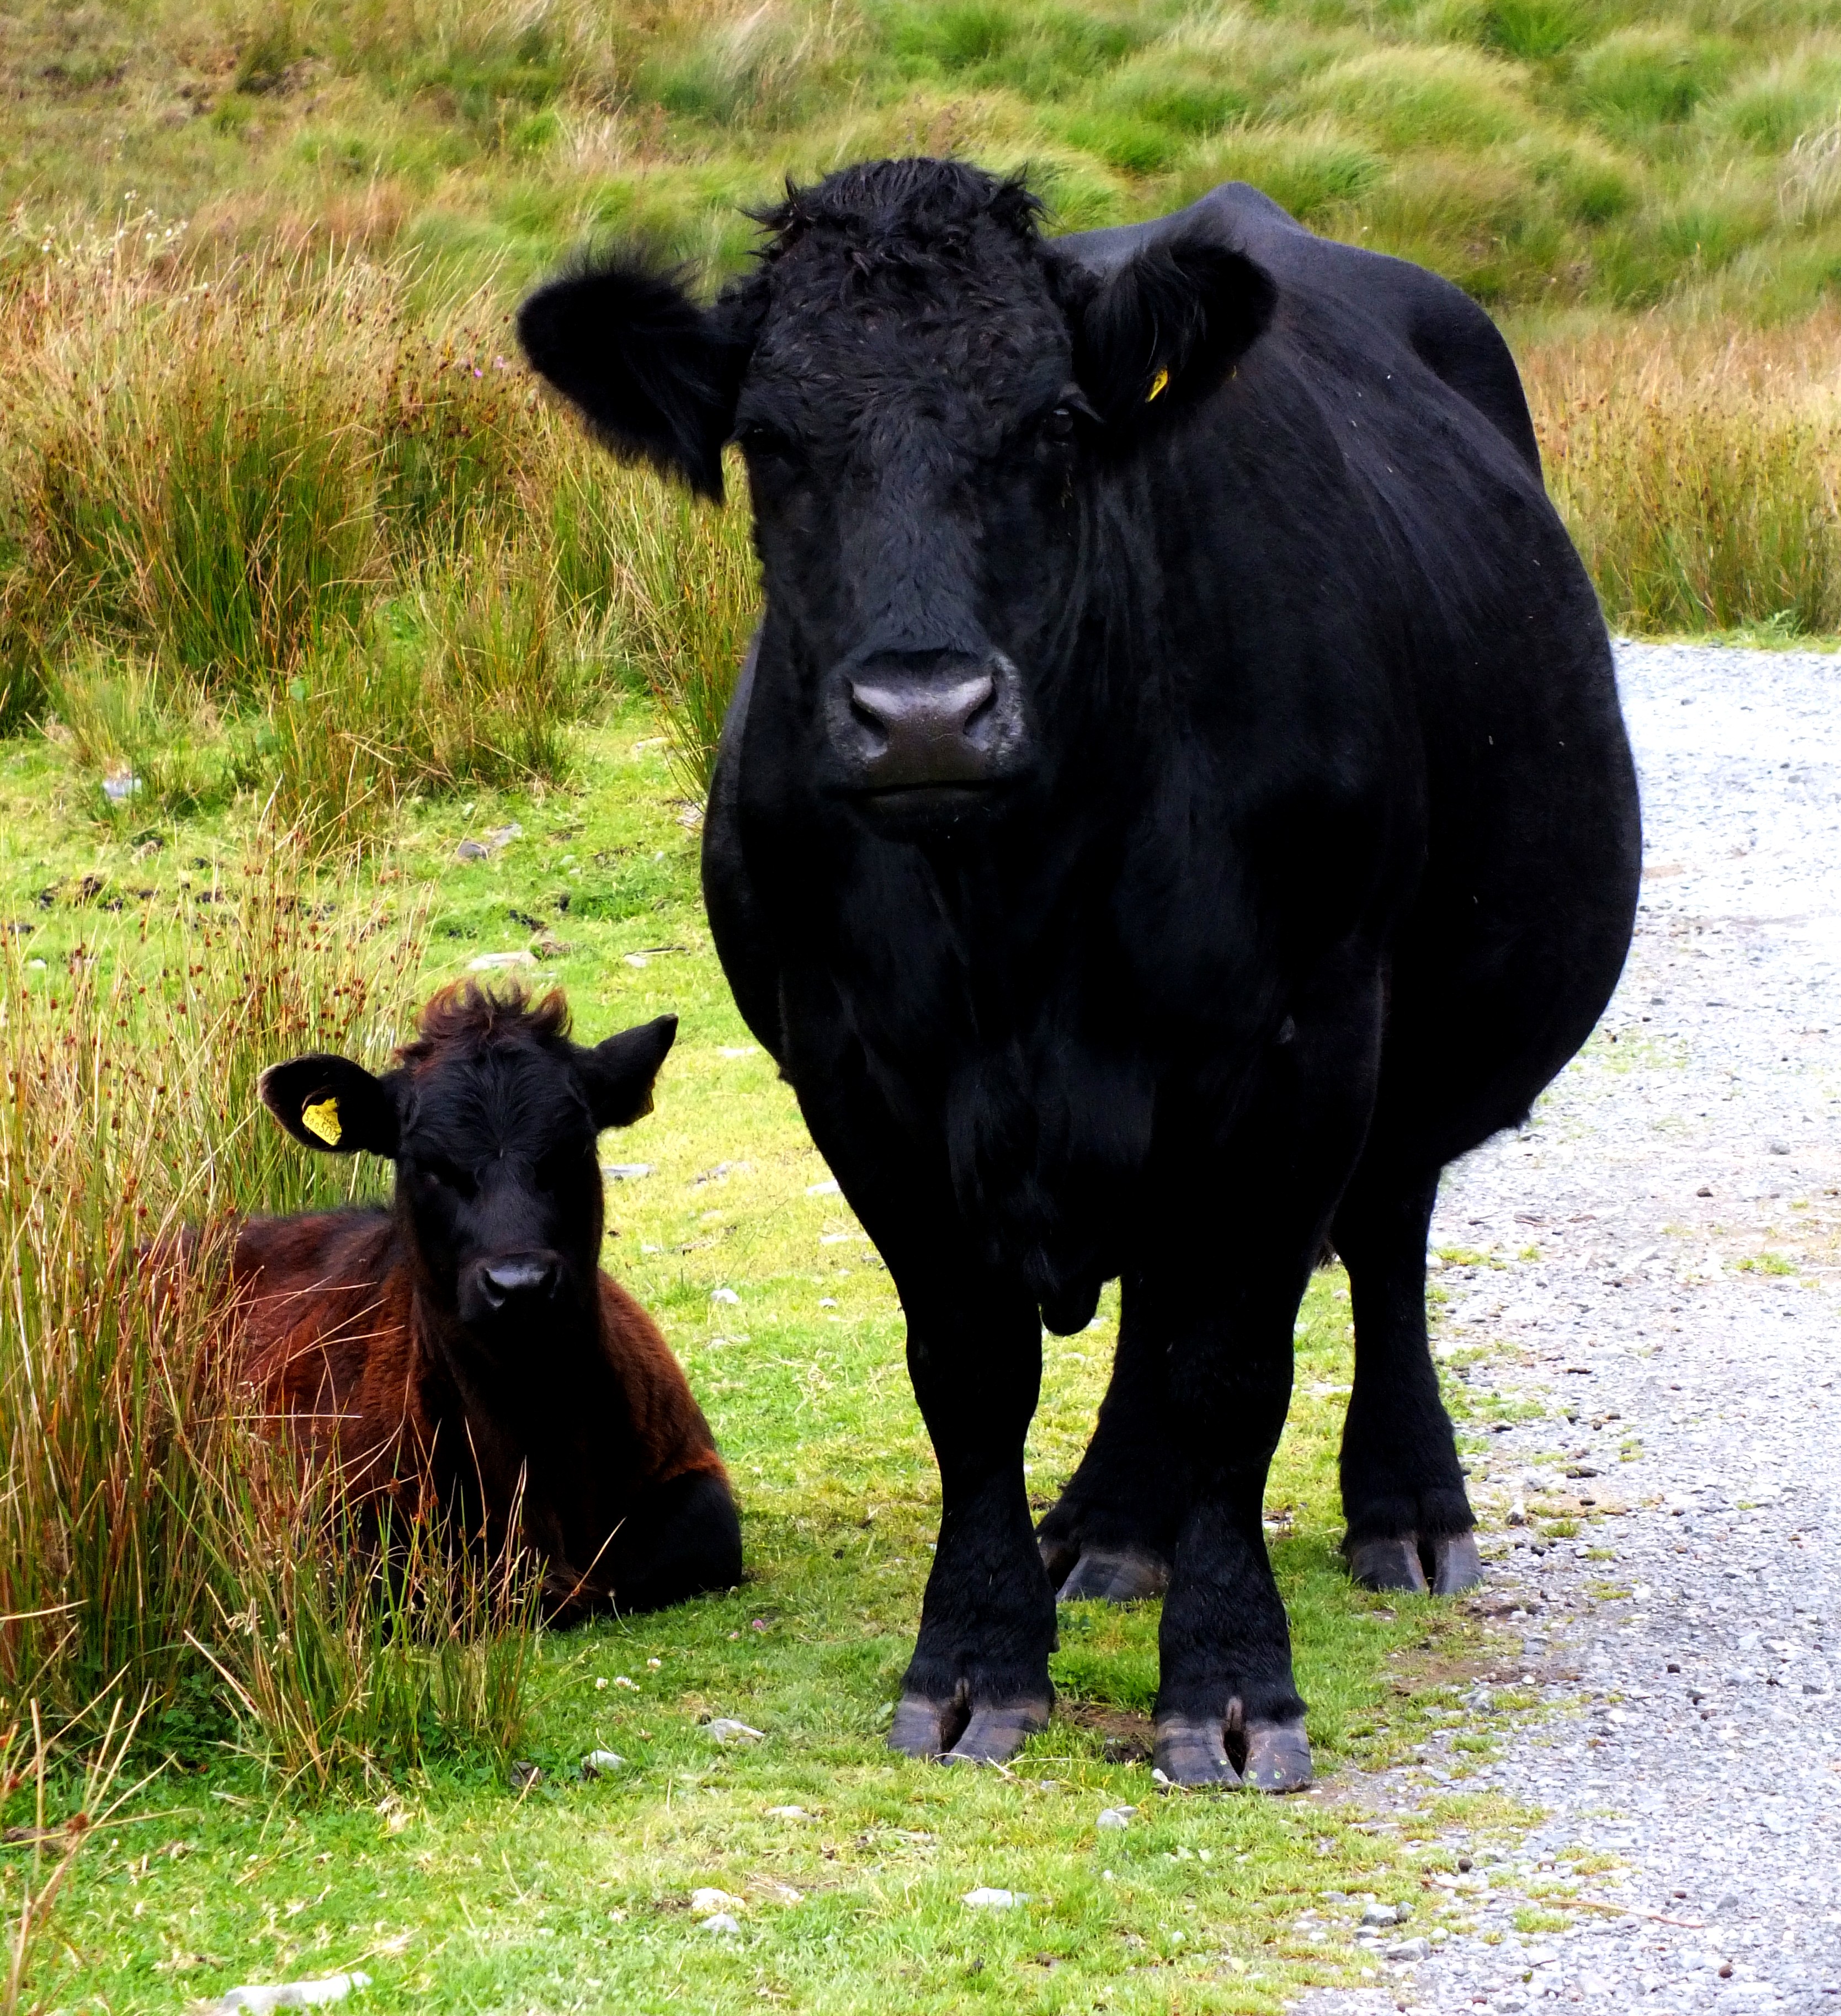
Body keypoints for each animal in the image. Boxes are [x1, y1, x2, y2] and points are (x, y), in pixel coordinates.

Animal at [520, 165, 1637, 1790]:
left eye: (1054, 423)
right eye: (771, 440)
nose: (925, 712)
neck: (1011, 914)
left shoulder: (1298, 1042)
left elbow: (1232, 1362)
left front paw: (1230, 1687)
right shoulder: (854, 1069)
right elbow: (974, 1367)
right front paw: (975, 1662)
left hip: (1395, 1047)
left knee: (1382, 1239)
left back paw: (1407, 1510)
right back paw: (1110, 1527)